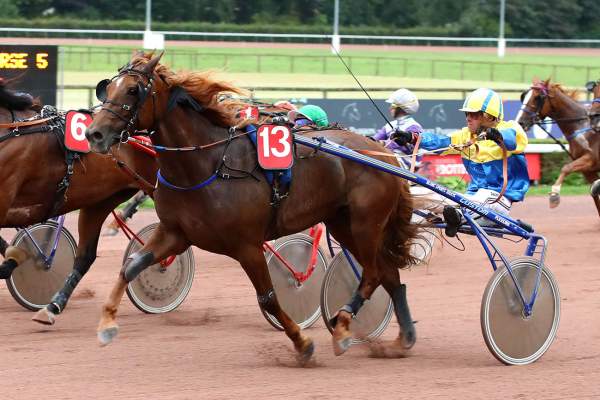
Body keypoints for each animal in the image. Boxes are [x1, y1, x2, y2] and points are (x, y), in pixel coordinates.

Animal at [86, 51, 420, 360]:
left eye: (133, 90)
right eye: (107, 87)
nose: (94, 133)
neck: (207, 165)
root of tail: (383, 153)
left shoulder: (247, 245)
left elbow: (268, 298)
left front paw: (303, 343)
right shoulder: (175, 233)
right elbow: (130, 267)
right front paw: (106, 325)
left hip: (366, 223)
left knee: (374, 274)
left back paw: (342, 326)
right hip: (342, 223)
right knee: (389, 275)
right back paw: (403, 338)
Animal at [516, 78, 600, 216]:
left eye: (537, 97)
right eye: (523, 96)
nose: (520, 122)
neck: (582, 127)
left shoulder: (591, 158)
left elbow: (566, 168)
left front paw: (554, 195)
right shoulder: (588, 170)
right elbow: (595, 193)